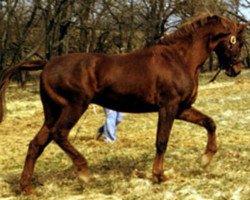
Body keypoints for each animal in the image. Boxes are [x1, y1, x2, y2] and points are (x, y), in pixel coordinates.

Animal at [0, 14, 249, 195]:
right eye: (238, 41)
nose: (236, 69)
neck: (179, 58)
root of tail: (47, 64)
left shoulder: (181, 109)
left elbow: (210, 122)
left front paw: (205, 158)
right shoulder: (168, 107)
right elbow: (161, 141)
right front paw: (159, 176)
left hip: (53, 111)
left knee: (37, 144)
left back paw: (27, 188)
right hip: (74, 106)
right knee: (59, 134)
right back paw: (84, 172)